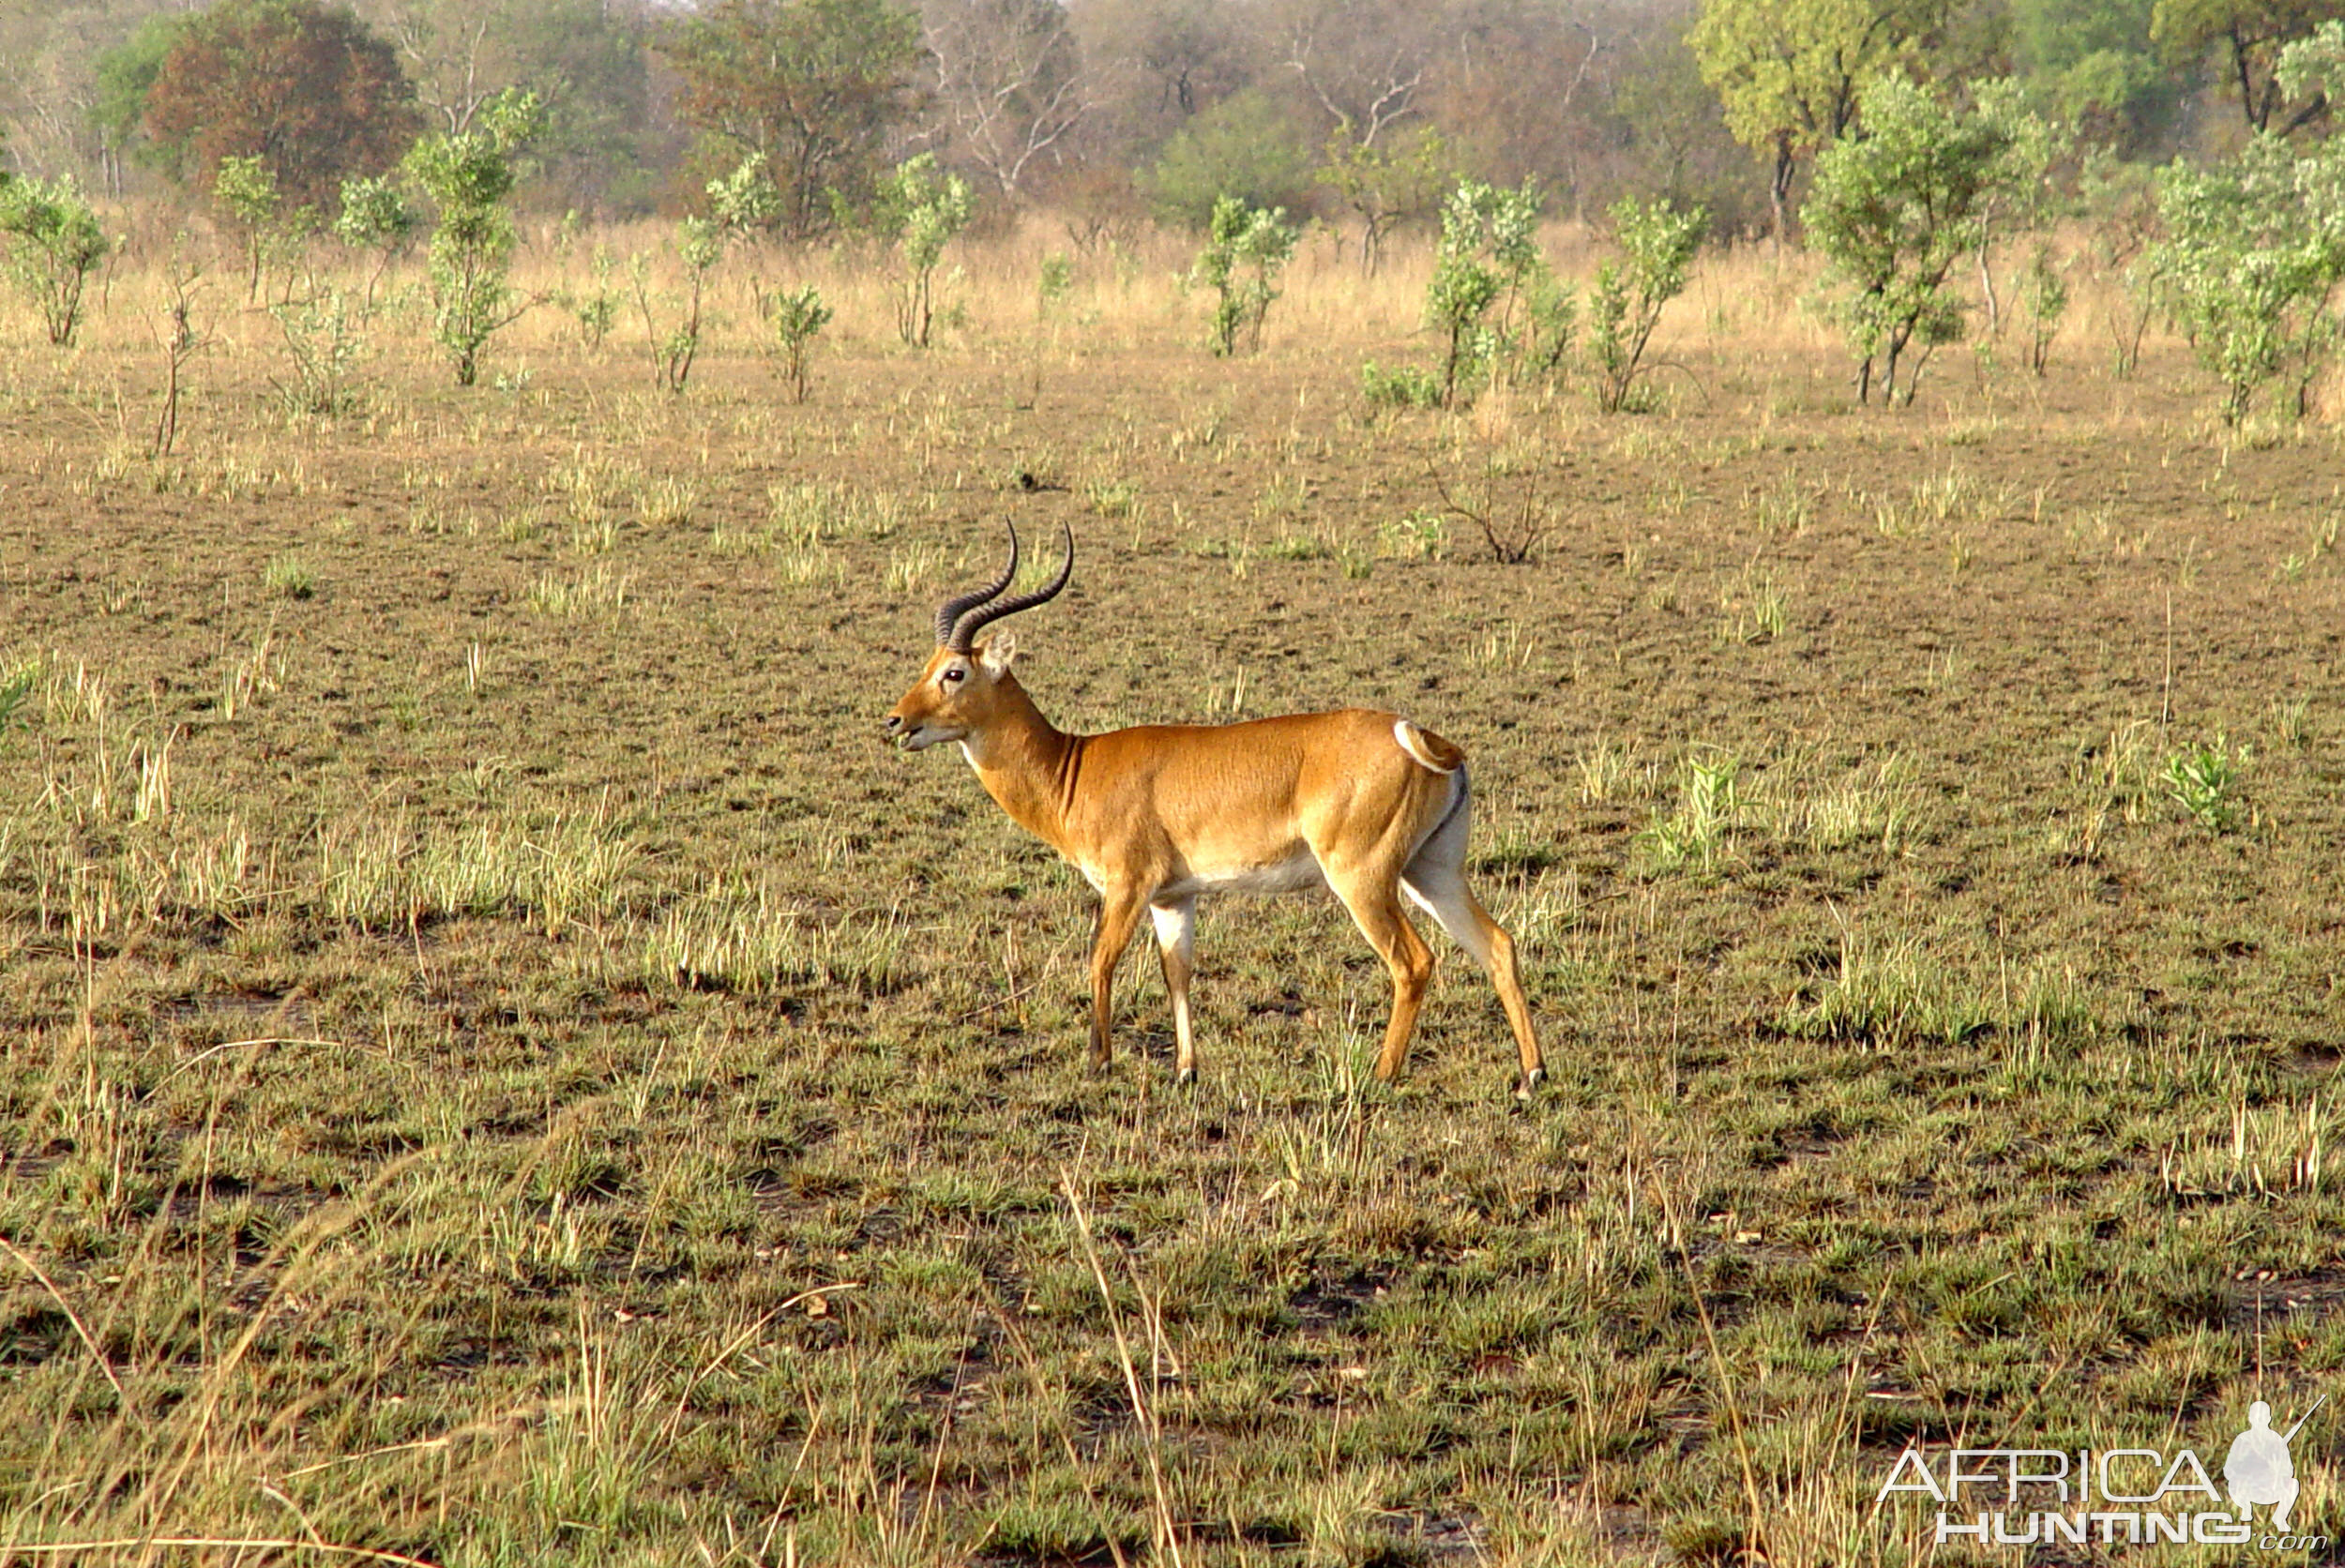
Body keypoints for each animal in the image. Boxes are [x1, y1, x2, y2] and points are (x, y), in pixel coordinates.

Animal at [886, 520, 1548, 1096]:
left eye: (955, 672)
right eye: (927, 666)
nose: (896, 720)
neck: (1075, 767)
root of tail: (1423, 737)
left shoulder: (1128, 885)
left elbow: (1101, 960)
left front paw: (1099, 1063)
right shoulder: (1174, 898)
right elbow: (1176, 972)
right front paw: (1185, 1071)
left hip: (1362, 878)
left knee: (1412, 962)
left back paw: (1380, 1078)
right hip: (1431, 871)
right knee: (1497, 945)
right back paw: (1530, 1077)